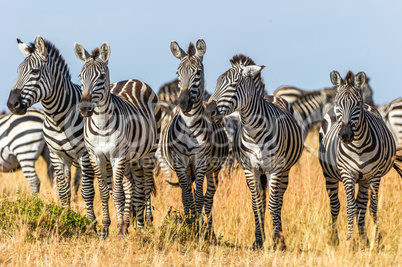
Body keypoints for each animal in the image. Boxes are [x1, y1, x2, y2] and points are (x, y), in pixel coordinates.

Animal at [7, 35, 97, 224]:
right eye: (18, 72)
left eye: (35, 72)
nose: (11, 104)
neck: (58, 120)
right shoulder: (56, 155)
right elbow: (63, 192)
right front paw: (65, 219)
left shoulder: (84, 155)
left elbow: (87, 192)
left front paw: (91, 224)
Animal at [73, 42, 161, 239]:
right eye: (81, 76)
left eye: (101, 76)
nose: (84, 108)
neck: (101, 124)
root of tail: (134, 80)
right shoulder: (96, 157)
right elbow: (105, 193)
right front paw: (106, 229)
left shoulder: (117, 156)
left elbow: (119, 194)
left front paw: (120, 230)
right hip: (131, 159)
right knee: (131, 187)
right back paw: (129, 223)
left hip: (148, 154)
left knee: (145, 186)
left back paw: (145, 223)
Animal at [161, 38, 229, 233]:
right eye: (177, 73)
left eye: (198, 72)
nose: (183, 103)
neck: (190, 127)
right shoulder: (180, 163)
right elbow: (186, 197)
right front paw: (188, 224)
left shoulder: (201, 162)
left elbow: (199, 198)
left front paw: (197, 228)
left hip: (214, 170)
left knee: (209, 198)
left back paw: (210, 231)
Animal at [206, 55, 304, 251]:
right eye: (217, 83)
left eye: (234, 84)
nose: (208, 111)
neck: (254, 131)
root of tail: (270, 95)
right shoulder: (250, 169)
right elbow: (257, 203)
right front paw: (258, 240)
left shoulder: (275, 169)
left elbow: (274, 204)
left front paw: (278, 241)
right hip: (262, 172)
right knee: (264, 199)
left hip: (284, 170)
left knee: (278, 200)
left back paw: (280, 237)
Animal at [318, 70, 400, 246]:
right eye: (338, 103)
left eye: (357, 104)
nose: (345, 135)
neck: (359, 148)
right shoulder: (347, 174)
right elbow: (350, 207)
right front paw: (349, 239)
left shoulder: (374, 175)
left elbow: (372, 207)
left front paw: (376, 240)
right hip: (329, 175)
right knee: (335, 205)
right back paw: (335, 239)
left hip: (364, 179)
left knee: (361, 205)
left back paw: (363, 239)